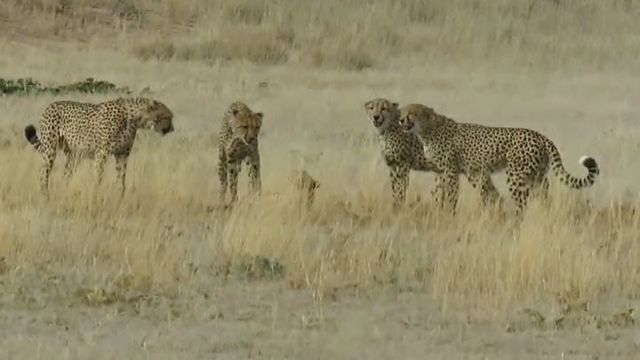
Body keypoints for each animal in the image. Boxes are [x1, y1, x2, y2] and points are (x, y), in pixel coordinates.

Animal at [24, 97, 174, 198]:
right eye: (167, 117)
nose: (172, 129)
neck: (134, 118)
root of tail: (50, 105)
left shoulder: (122, 154)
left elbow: (121, 178)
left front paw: (120, 196)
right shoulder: (102, 153)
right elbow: (98, 178)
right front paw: (96, 194)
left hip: (73, 155)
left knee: (65, 174)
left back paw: (64, 191)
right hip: (50, 150)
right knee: (43, 173)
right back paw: (45, 195)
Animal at [400, 102, 600, 214]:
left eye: (412, 113)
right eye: (402, 112)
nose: (401, 120)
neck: (426, 129)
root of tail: (541, 136)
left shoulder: (450, 171)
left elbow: (450, 194)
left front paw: (449, 212)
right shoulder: (441, 171)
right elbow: (438, 193)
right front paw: (438, 210)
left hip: (516, 176)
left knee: (522, 203)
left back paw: (516, 221)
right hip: (536, 175)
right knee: (544, 192)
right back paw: (545, 212)